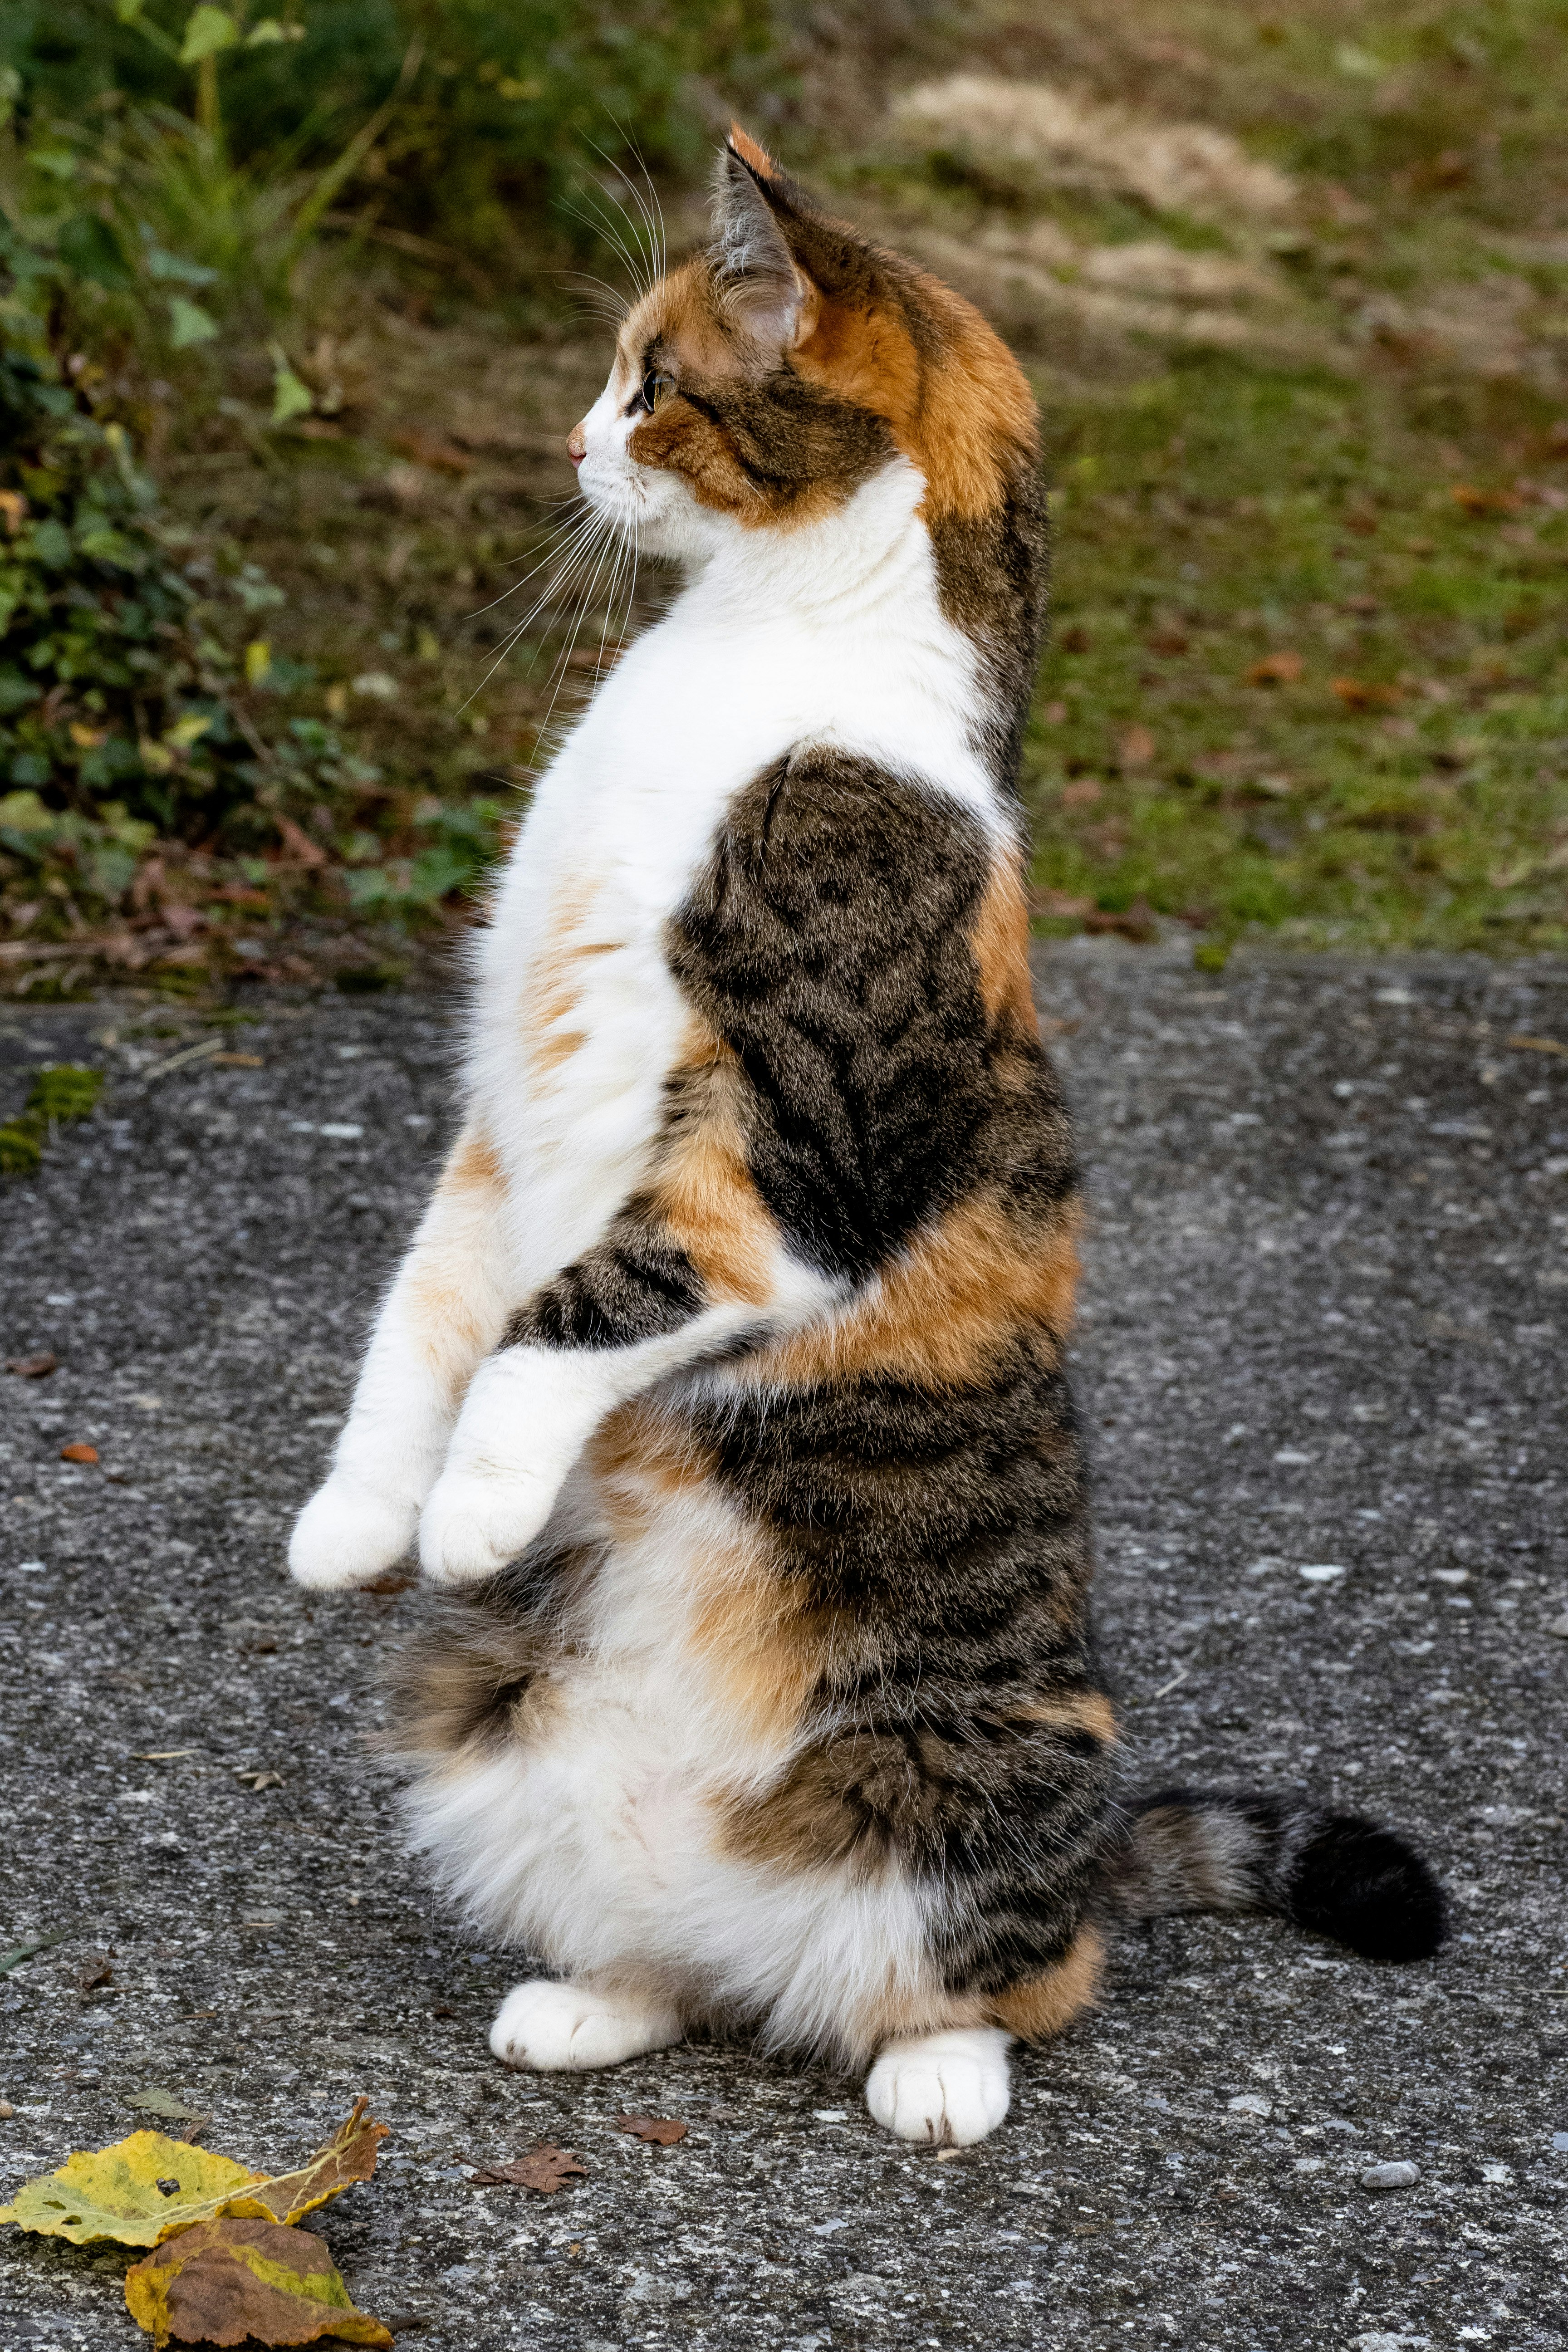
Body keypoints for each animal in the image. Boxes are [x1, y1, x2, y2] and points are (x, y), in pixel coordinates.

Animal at [291, 133, 1448, 2154]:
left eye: (648, 381)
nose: (567, 443)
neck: (756, 665)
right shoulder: (501, 1118)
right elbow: (425, 1309)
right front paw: (359, 1520)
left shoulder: (781, 1159)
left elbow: (559, 1321)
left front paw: (473, 1502)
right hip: (487, 1740)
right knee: (677, 1966)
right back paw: (595, 1998)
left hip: (974, 1786)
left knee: (1007, 1970)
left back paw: (934, 2079)